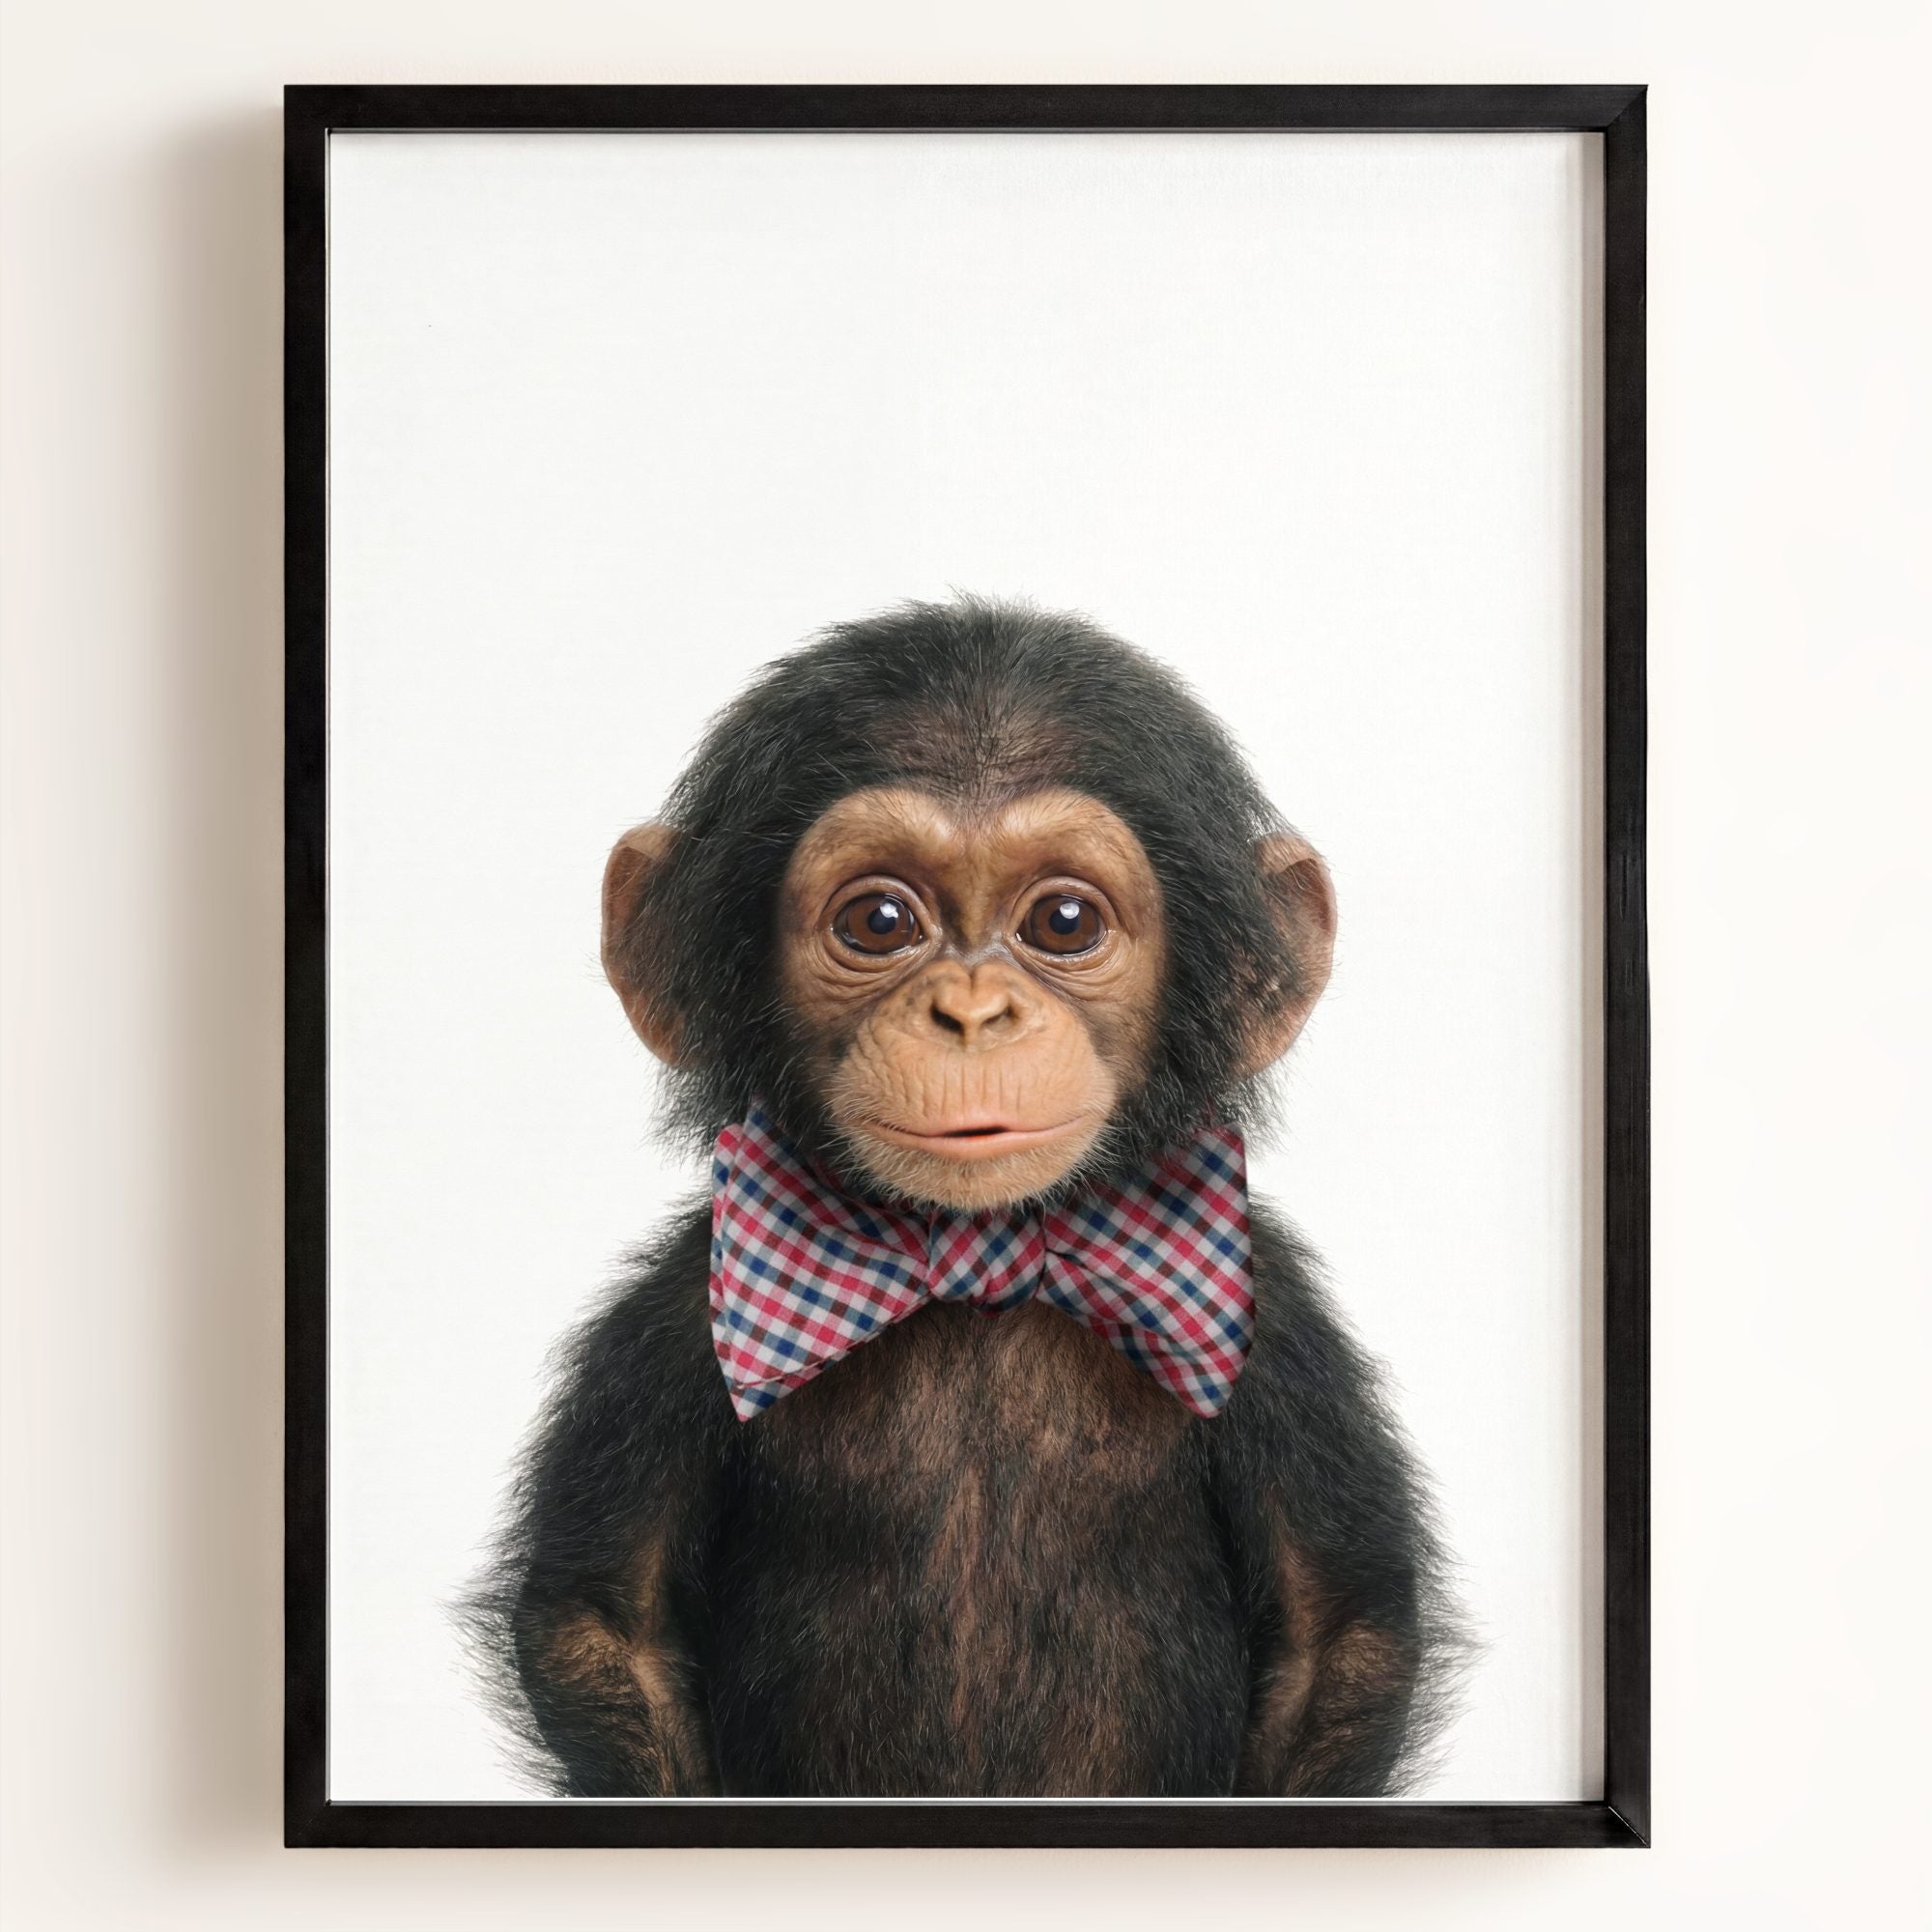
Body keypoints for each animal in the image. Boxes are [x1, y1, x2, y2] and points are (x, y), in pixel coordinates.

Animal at [463, 596, 1463, 1798]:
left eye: (1064, 921)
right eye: (880, 921)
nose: (973, 1012)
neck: (976, 1258)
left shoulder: (1277, 1335)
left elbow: (1336, 1633)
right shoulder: (667, 1323)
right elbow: (606, 1622)